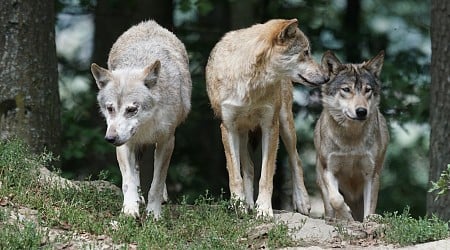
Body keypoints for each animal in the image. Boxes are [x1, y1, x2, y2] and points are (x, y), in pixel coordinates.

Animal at [90, 20, 191, 219]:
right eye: (110, 108)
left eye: (131, 110)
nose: (110, 138)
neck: (146, 125)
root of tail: (149, 23)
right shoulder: (124, 144)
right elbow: (128, 181)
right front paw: (130, 209)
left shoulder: (167, 142)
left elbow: (157, 184)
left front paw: (154, 214)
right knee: (135, 170)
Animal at [207, 18, 326, 216]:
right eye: (306, 52)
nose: (326, 77)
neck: (250, 83)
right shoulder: (228, 127)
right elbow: (235, 175)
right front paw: (239, 205)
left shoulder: (270, 126)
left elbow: (266, 176)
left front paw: (263, 209)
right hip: (242, 132)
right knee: (248, 167)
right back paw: (247, 204)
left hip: (285, 124)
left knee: (296, 160)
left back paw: (301, 201)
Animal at [314, 50, 388, 221]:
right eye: (346, 89)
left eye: (367, 90)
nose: (361, 111)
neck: (351, 139)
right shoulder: (329, 169)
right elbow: (336, 199)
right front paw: (346, 216)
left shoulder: (371, 174)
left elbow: (370, 209)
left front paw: (368, 221)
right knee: (329, 206)